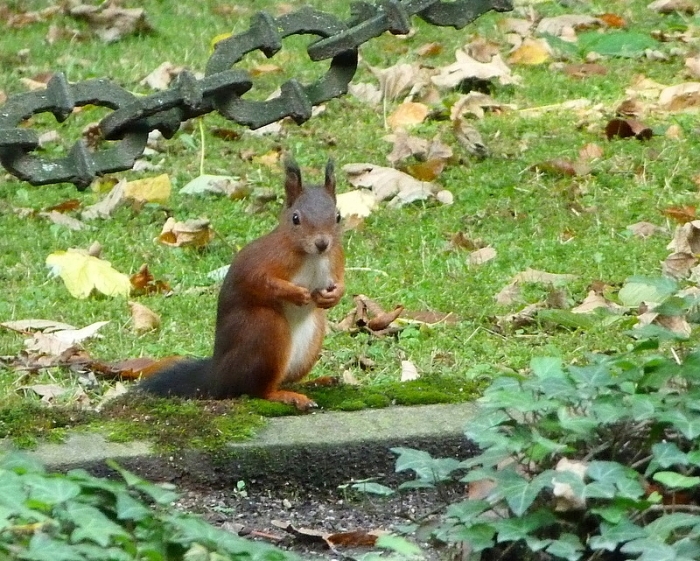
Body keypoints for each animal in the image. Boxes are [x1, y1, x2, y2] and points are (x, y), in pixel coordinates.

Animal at [138, 158, 345, 410]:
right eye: (296, 218)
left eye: (338, 216)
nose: (322, 243)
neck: (311, 256)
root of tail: (217, 376)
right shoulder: (261, 261)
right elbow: (261, 282)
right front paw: (297, 294)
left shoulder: (335, 259)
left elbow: (341, 281)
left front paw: (334, 295)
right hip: (265, 330)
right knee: (256, 390)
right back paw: (287, 395)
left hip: (310, 343)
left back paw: (317, 382)